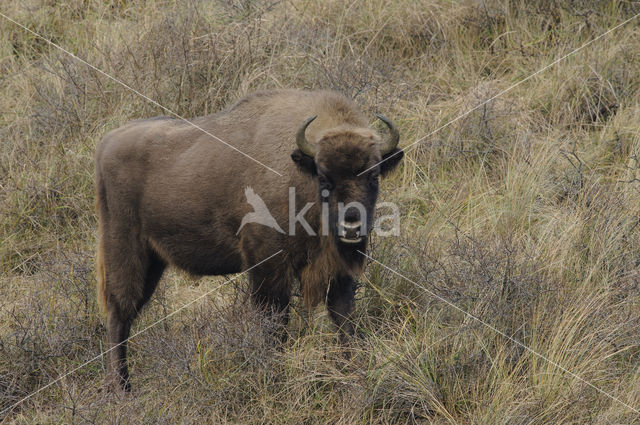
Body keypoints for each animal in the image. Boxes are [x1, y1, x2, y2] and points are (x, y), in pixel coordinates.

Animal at [94, 90, 400, 390]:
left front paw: (353, 371)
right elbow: (274, 323)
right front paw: (274, 375)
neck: (300, 173)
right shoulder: (268, 266)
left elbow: (343, 317)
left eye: (374, 176)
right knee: (119, 313)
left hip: (153, 262)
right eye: (324, 178)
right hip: (126, 252)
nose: (352, 225)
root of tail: (107, 142)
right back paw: (121, 388)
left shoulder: (338, 271)